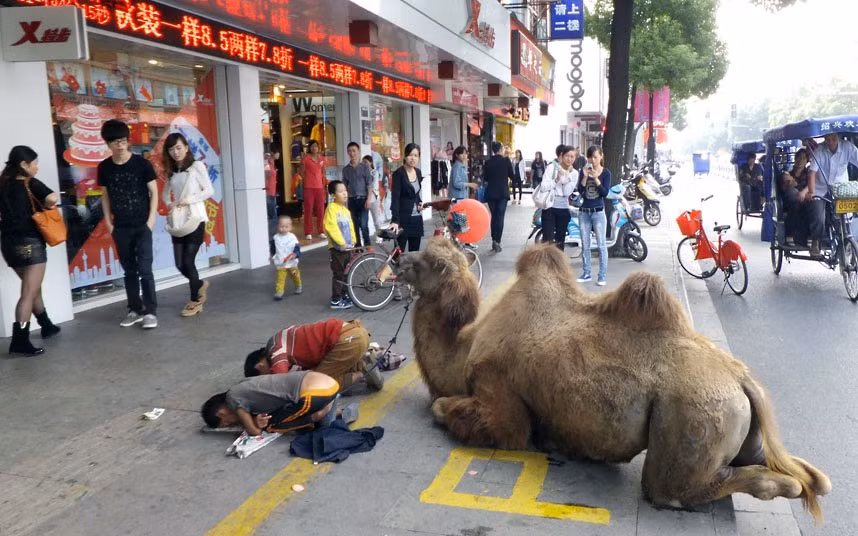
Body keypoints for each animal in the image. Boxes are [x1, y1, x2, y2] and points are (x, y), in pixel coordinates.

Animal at [396, 237, 831, 522]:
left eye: (429, 262)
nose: (399, 256)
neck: (466, 345)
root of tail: (741, 378)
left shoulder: (497, 392)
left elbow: (451, 409)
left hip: (692, 415)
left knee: (671, 490)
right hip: (740, 422)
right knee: (808, 475)